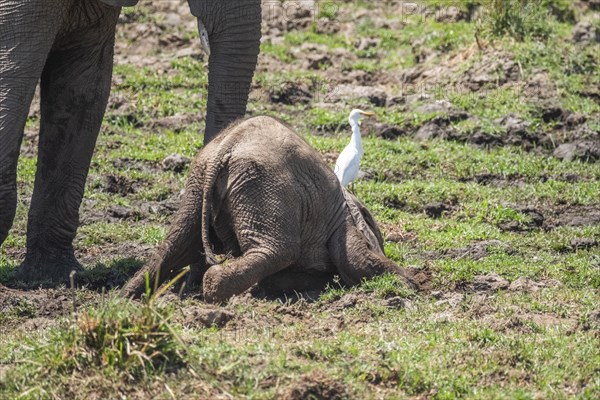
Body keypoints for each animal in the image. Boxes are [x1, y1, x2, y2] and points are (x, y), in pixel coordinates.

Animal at [124, 115, 414, 300]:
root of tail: (228, 145)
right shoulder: (342, 221)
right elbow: (358, 262)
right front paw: (413, 284)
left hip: (199, 181)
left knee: (176, 244)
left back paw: (126, 296)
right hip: (264, 183)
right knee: (279, 249)